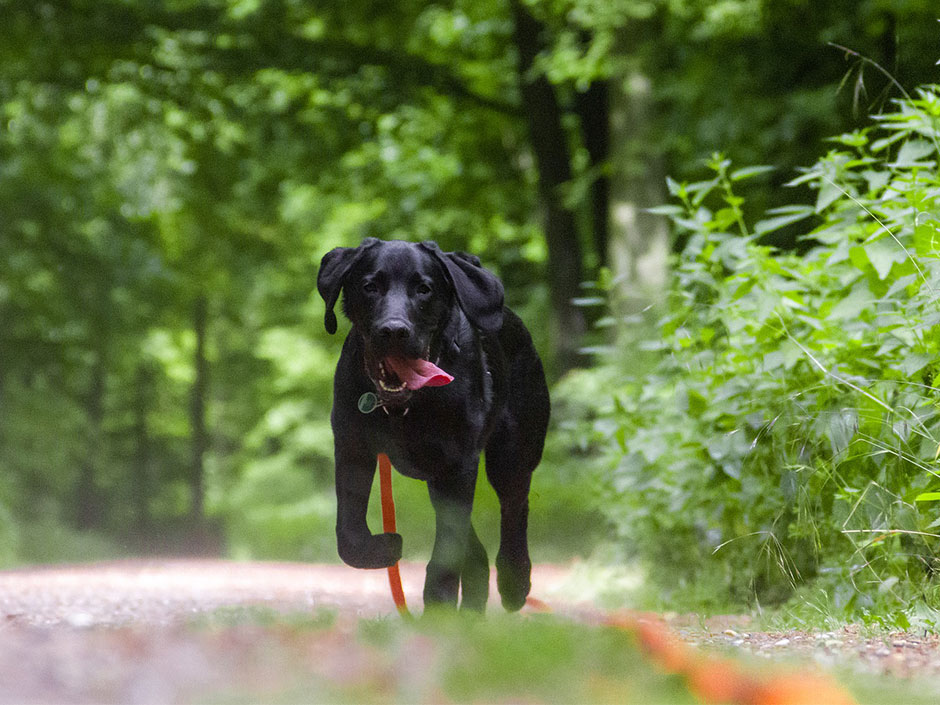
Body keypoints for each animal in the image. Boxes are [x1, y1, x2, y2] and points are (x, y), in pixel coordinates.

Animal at [318, 238, 552, 612]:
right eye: (370, 286)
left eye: (424, 289)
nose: (394, 330)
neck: (404, 408)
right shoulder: (353, 449)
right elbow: (349, 535)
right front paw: (384, 548)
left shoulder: (458, 465)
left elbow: (447, 550)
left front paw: (438, 608)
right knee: (476, 549)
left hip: (512, 454)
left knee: (515, 508)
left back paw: (514, 582)